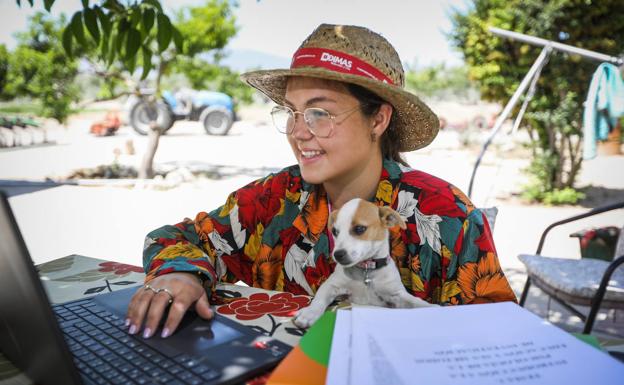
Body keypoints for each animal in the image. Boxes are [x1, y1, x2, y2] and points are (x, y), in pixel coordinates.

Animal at [294, 198, 436, 328]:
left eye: (359, 229)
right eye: (334, 232)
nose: (337, 255)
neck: (366, 269)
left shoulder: (397, 295)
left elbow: (416, 302)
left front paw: (433, 308)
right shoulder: (332, 285)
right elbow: (319, 298)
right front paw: (309, 313)